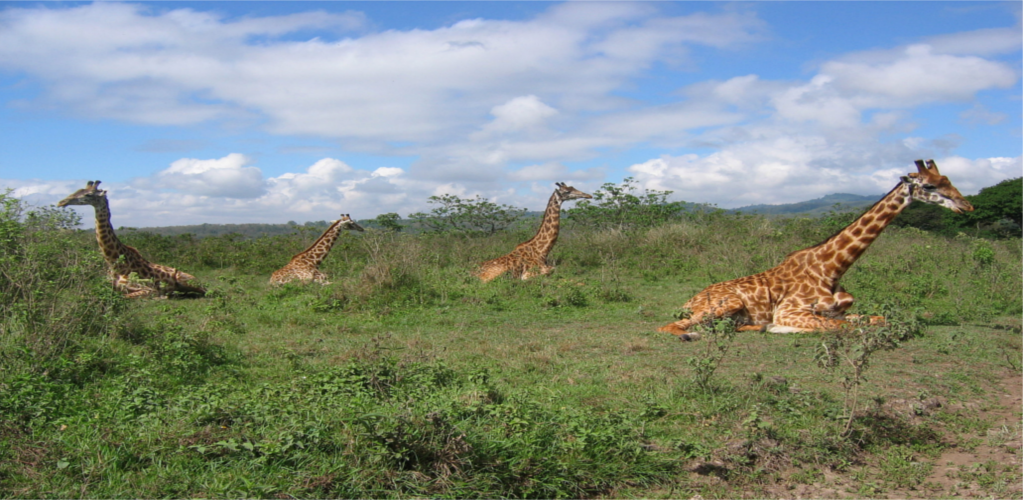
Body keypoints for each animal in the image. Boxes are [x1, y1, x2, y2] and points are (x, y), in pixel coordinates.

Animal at [57, 179, 207, 297]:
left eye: (88, 194)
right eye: (77, 190)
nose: (61, 202)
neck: (114, 263)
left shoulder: (148, 288)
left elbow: (129, 296)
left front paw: (162, 296)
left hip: (186, 281)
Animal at [659, 159, 970, 340]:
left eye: (950, 181)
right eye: (929, 186)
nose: (967, 206)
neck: (831, 268)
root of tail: (689, 299)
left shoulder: (839, 312)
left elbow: (879, 319)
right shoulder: (790, 312)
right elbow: (849, 327)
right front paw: (781, 328)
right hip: (727, 303)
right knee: (673, 327)